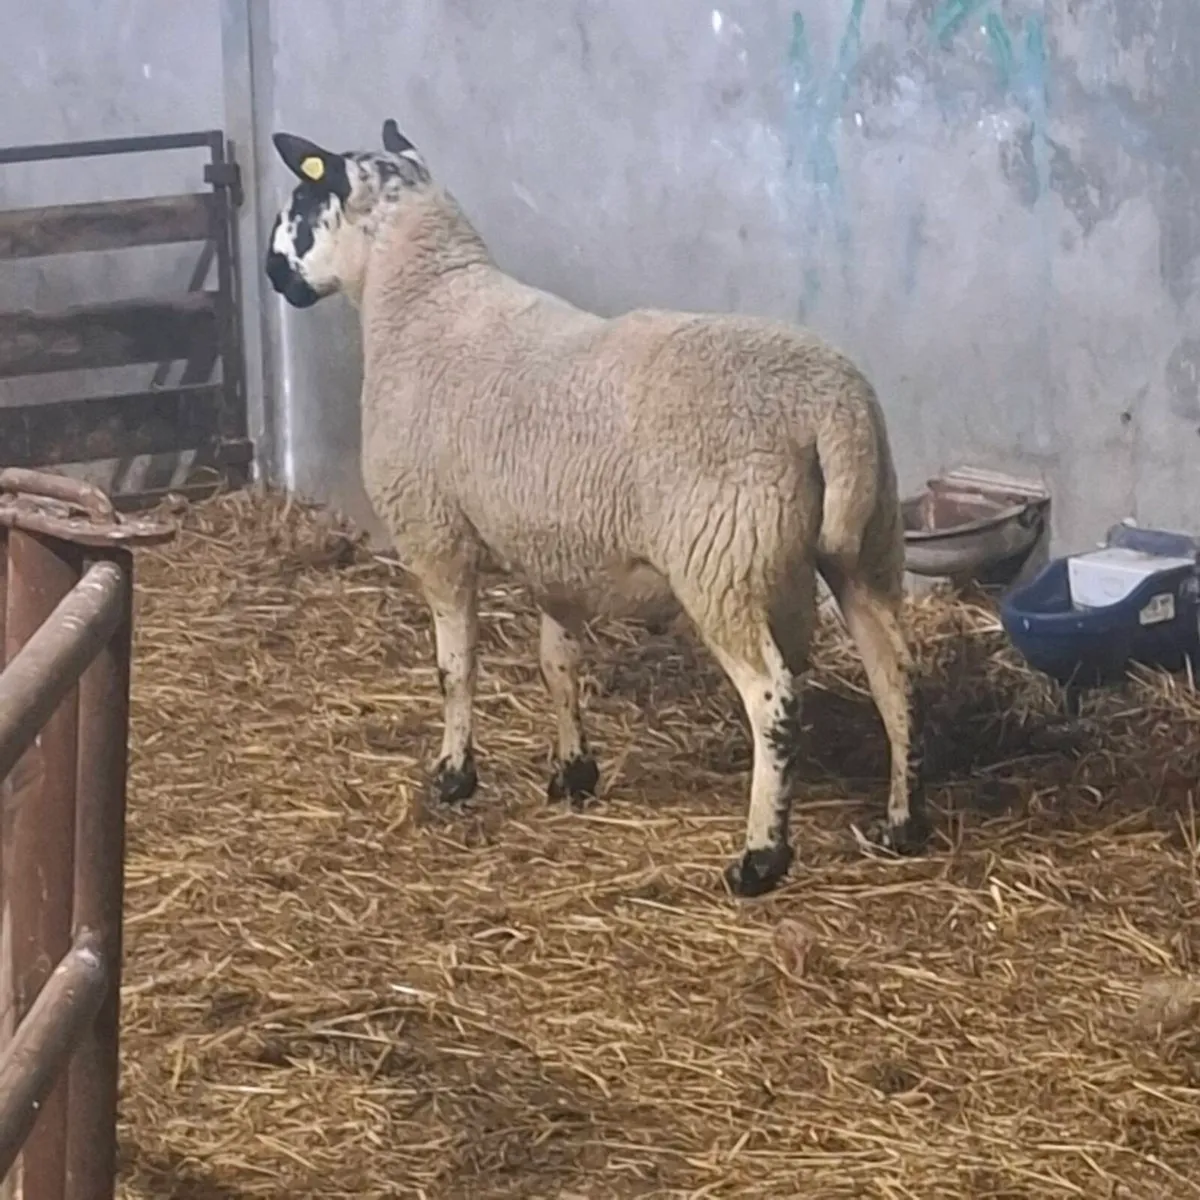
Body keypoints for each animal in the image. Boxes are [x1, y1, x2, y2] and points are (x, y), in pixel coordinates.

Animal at [264, 118, 931, 897]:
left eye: (302, 204)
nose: (273, 274)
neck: (423, 301)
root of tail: (830, 410)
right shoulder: (556, 554)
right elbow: (559, 661)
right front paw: (573, 773)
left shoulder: (433, 532)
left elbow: (455, 667)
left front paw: (454, 777)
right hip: (867, 544)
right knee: (894, 675)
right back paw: (902, 823)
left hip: (722, 563)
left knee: (775, 701)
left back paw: (761, 857)